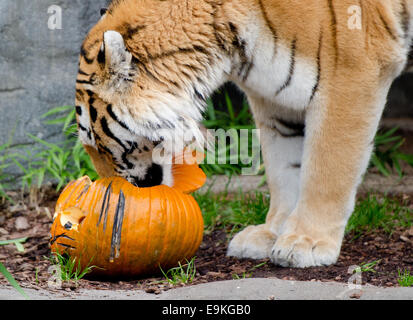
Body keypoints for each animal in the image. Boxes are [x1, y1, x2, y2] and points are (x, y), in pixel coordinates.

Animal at [74, 0, 412, 268]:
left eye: (96, 142)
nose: (105, 190)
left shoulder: (350, 75)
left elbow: (327, 169)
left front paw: (306, 242)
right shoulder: (276, 100)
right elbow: (284, 169)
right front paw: (273, 233)